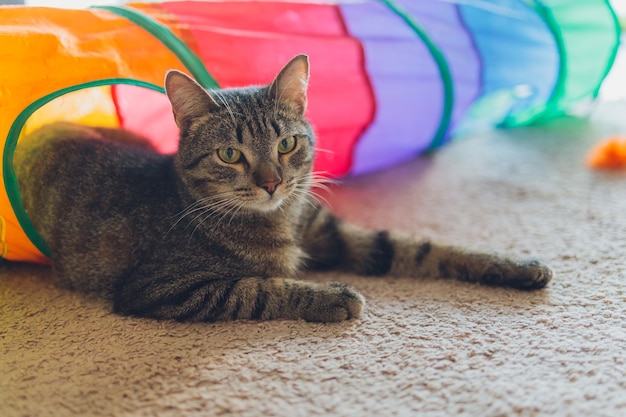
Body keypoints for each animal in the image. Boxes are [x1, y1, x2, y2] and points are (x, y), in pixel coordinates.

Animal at [13, 54, 552, 322]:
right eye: (230, 155)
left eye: (288, 144)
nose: (271, 182)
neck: (282, 219)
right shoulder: (160, 287)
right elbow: (257, 288)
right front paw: (333, 296)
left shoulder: (331, 232)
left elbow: (424, 248)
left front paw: (517, 266)